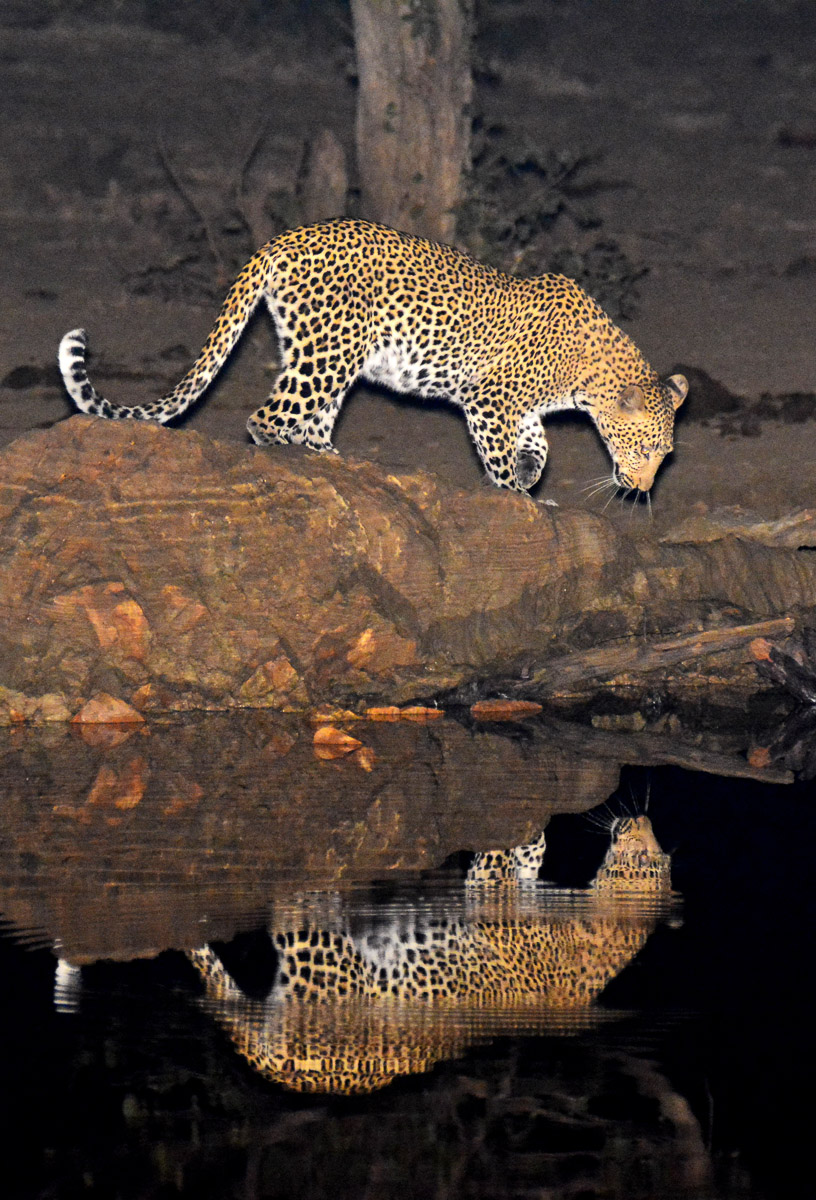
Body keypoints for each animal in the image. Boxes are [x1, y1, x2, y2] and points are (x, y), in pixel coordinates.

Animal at [58, 218, 688, 494]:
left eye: (666, 454)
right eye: (646, 450)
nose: (644, 488)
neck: (589, 376)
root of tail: (281, 239)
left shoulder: (518, 407)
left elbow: (540, 443)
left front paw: (532, 474)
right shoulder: (488, 401)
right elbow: (503, 457)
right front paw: (515, 490)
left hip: (322, 352)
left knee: (310, 417)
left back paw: (335, 459)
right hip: (330, 352)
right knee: (266, 418)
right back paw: (294, 459)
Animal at [185, 814, 676, 1094]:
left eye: (645, 849)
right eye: (652, 838)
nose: (641, 813)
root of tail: (287, 1073)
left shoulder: (492, 893)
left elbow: (492, 862)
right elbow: (525, 859)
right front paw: (535, 836)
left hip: (319, 960)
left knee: (294, 909)